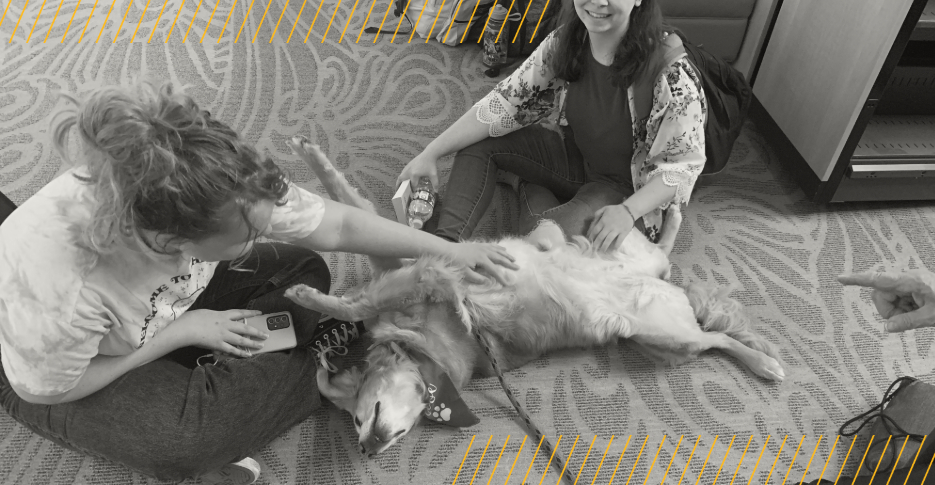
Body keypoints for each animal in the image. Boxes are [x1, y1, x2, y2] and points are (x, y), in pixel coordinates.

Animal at [282, 134, 788, 456]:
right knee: (666, 256)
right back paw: (676, 219)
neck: (420, 347)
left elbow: (361, 283)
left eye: (361, 417)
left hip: (665, 331)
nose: (368, 450)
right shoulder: (407, 267)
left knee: (716, 339)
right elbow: (356, 213)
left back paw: (764, 364)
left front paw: (307, 295)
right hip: (635, 273)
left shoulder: (419, 270)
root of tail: (662, 282)